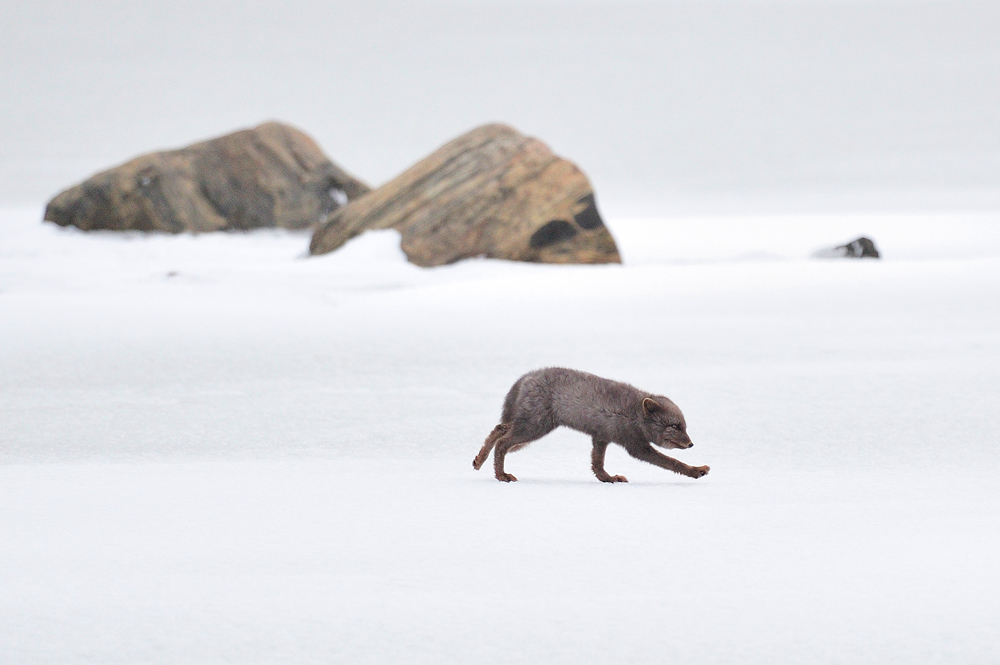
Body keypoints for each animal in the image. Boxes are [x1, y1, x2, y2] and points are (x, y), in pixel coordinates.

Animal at [472, 368, 708, 482]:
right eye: (674, 426)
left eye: (684, 426)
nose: (691, 444)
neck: (633, 415)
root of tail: (525, 377)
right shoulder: (635, 446)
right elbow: (672, 462)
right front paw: (697, 470)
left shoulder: (601, 437)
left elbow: (597, 464)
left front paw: (608, 479)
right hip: (535, 426)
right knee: (503, 442)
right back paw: (501, 476)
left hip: (527, 423)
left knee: (499, 429)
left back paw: (478, 460)